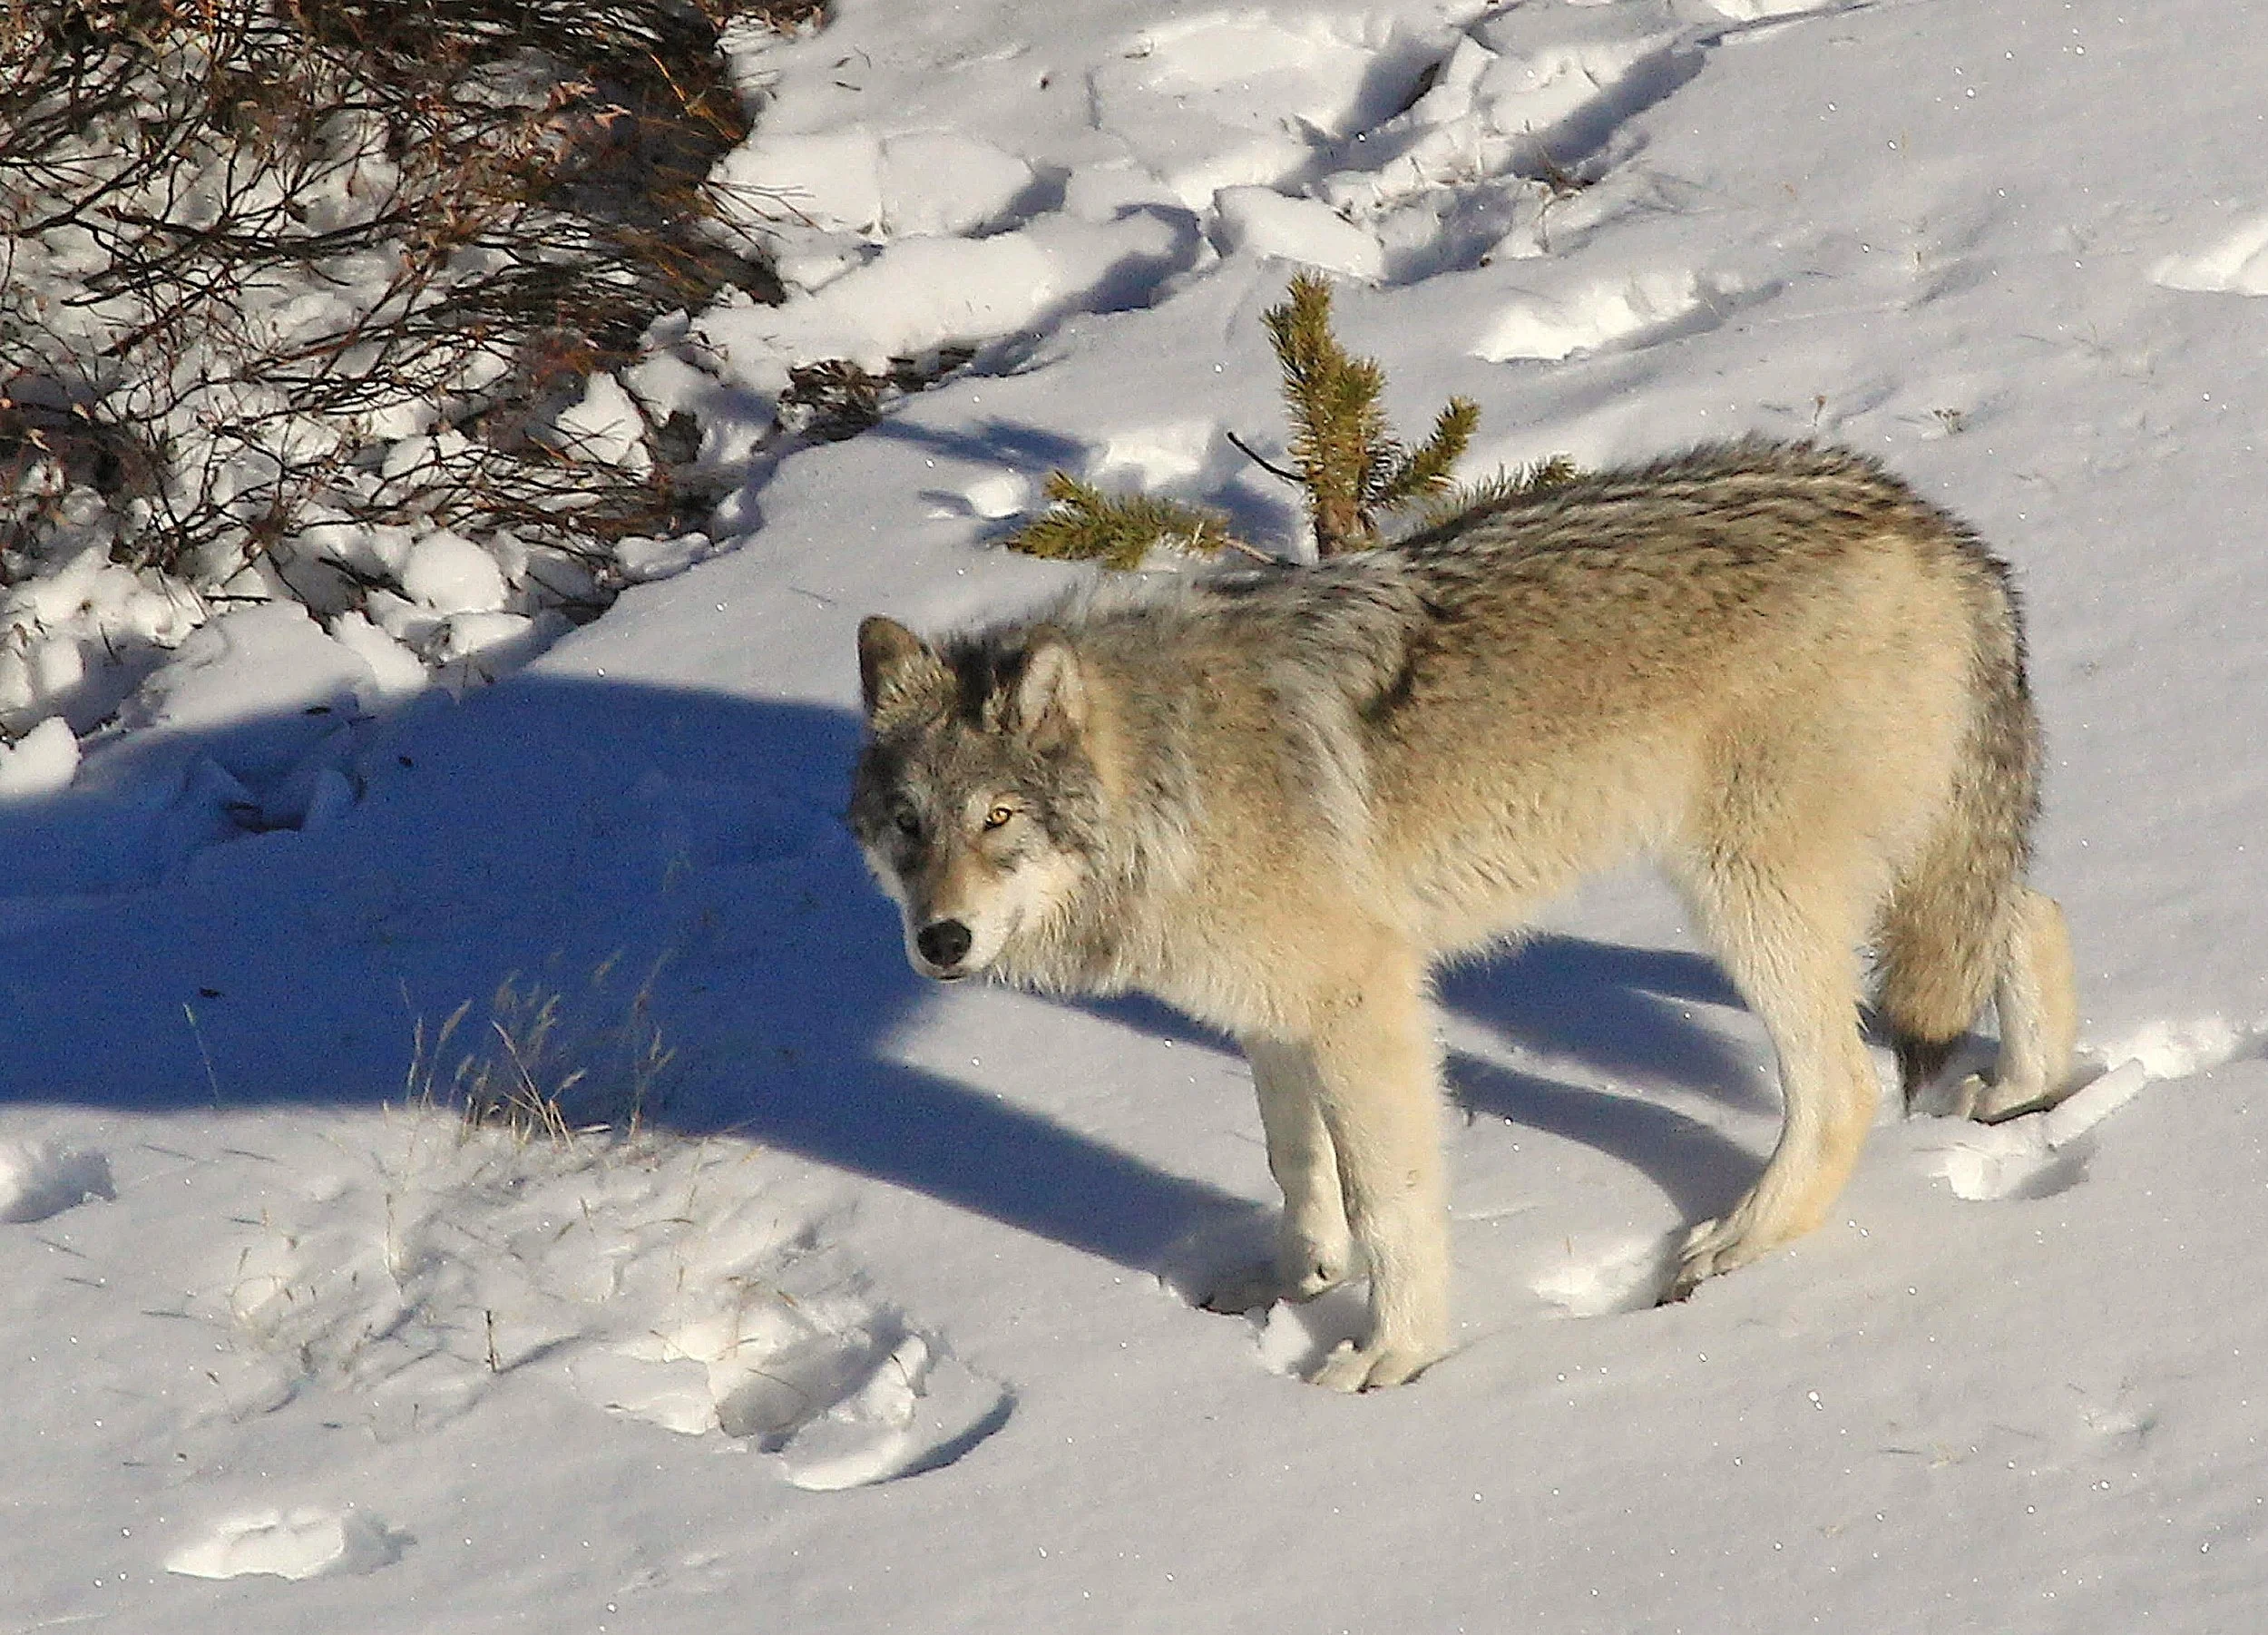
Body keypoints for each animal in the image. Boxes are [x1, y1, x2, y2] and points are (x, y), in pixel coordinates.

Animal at [847, 438, 2078, 1391]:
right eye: (908, 825)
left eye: (999, 817)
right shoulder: (1271, 1011)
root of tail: (1931, 522)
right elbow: (1294, 1163)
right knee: (2030, 913)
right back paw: (2026, 1091)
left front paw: (1394, 1357)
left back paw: (1735, 1245)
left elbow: (1389, 1199)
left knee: (1844, 1086)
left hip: (1746, 894)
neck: (1172, 772)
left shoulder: (1364, 1000)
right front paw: (1295, 1281)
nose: (939, 940)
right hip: (1891, 865)